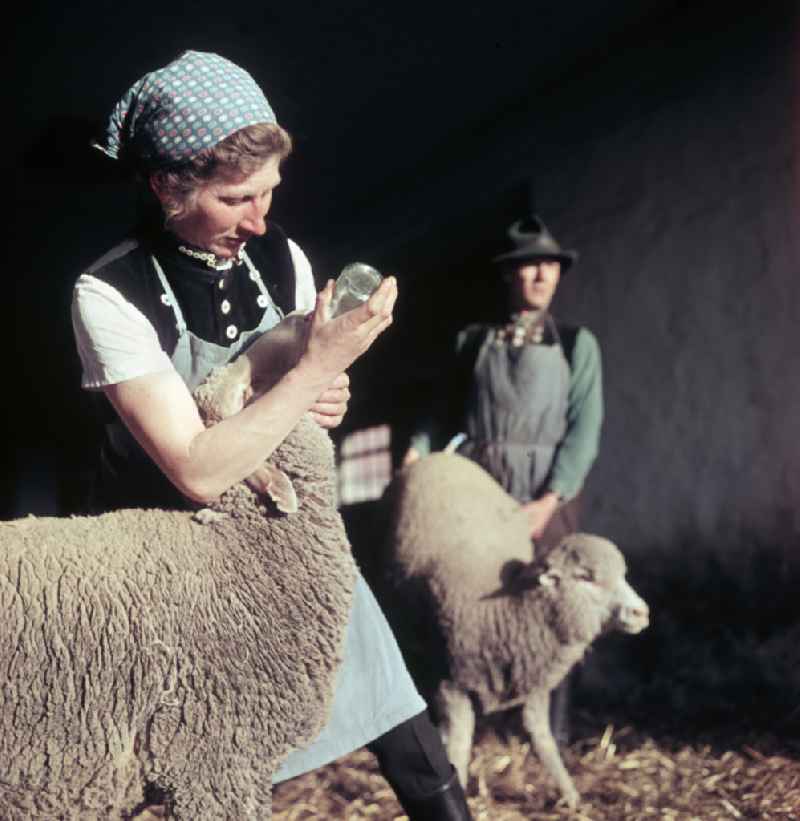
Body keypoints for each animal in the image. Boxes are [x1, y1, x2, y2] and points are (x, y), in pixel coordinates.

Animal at [378, 454, 648, 808]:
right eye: (585, 577)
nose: (642, 612)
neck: (509, 612)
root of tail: (443, 455)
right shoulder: (451, 682)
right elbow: (459, 745)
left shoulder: (535, 683)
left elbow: (542, 738)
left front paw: (571, 796)